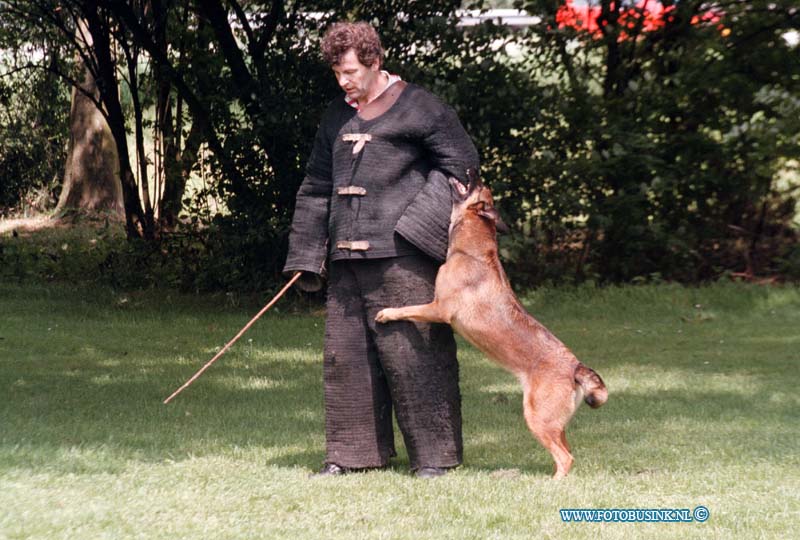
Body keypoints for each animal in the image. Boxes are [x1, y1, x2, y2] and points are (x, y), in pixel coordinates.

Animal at [376, 169, 608, 476]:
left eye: (479, 185)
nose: (473, 170)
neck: (471, 250)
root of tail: (575, 366)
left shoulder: (439, 309)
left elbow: (407, 309)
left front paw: (387, 313)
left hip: (537, 418)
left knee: (565, 457)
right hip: (555, 425)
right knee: (568, 454)